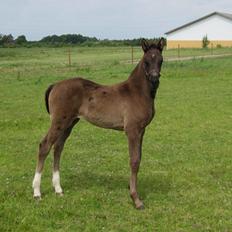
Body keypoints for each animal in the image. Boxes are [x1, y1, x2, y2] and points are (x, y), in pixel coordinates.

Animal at [32, 38, 165, 208]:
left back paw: (58, 189)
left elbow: (139, 159)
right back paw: (37, 192)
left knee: (58, 148)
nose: (154, 79)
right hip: (58, 121)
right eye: (147, 61)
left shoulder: (142, 130)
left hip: (69, 123)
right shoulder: (132, 130)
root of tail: (55, 85)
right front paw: (136, 199)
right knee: (45, 146)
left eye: (160, 60)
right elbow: (134, 160)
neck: (137, 92)